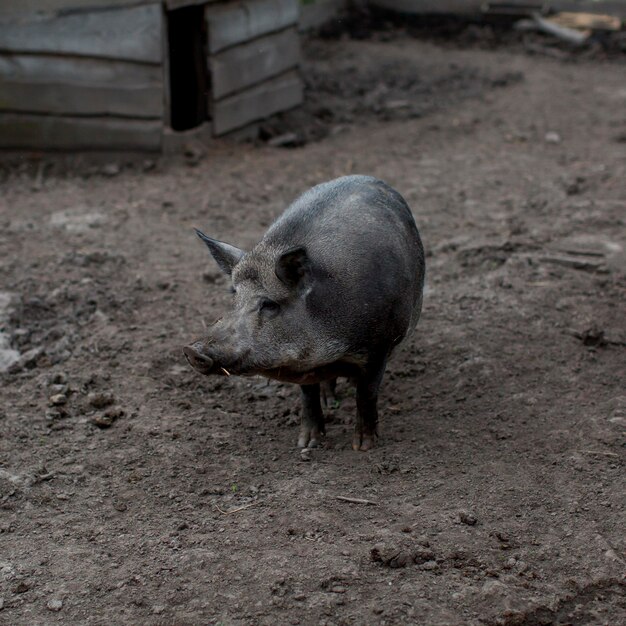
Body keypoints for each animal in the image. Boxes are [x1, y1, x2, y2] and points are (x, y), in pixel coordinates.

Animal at [182, 174, 424, 448]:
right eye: (234, 294)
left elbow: (366, 394)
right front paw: (307, 443)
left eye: (270, 304)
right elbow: (308, 395)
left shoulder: (380, 346)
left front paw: (363, 447)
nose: (191, 350)